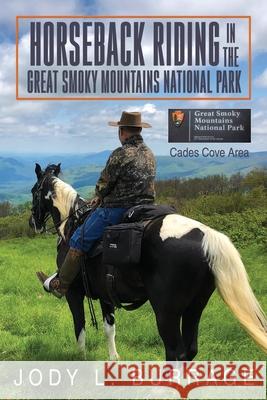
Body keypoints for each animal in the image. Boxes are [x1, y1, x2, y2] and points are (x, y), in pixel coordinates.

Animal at [29, 162, 267, 360]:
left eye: (33, 191)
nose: (33, 223)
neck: (71, 225)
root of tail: (206, 235)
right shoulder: (106, 294)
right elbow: (109, 328)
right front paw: (113, 359)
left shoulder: (73, 292)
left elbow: (80, 328)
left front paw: (80, 359)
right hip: (195, 307)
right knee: (190, 349)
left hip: (166, 312)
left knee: (175, 352)